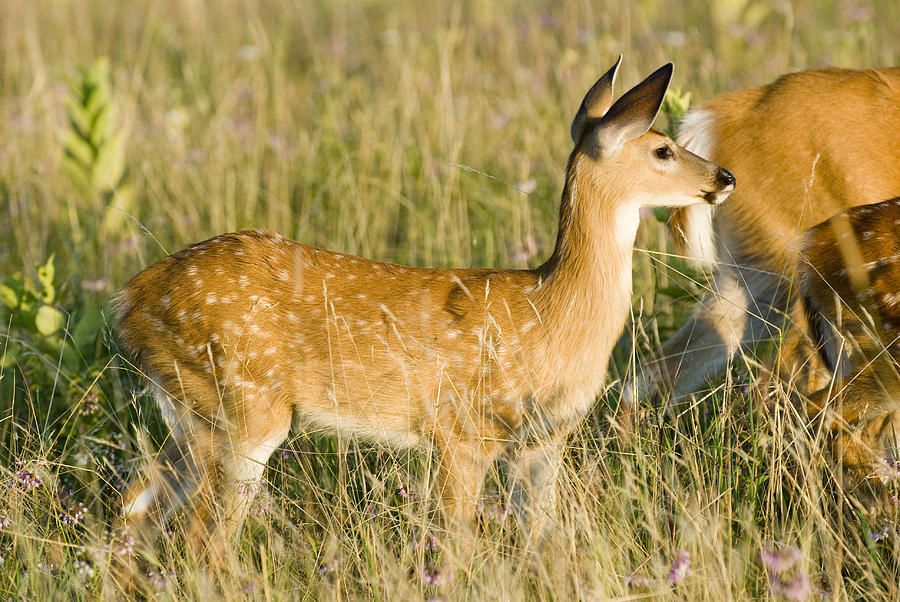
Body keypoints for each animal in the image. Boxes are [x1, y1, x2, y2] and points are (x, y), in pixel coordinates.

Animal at [114, 56, 732, 556]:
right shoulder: (461, 428)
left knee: (135, 507)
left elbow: (545, 542)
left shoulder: (541, 442)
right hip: (243, 403)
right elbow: (455, 543)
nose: (724, 177)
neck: (551, 313)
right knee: (203, 538)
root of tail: (130, 299)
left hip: (192, 411)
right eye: (662, 149)